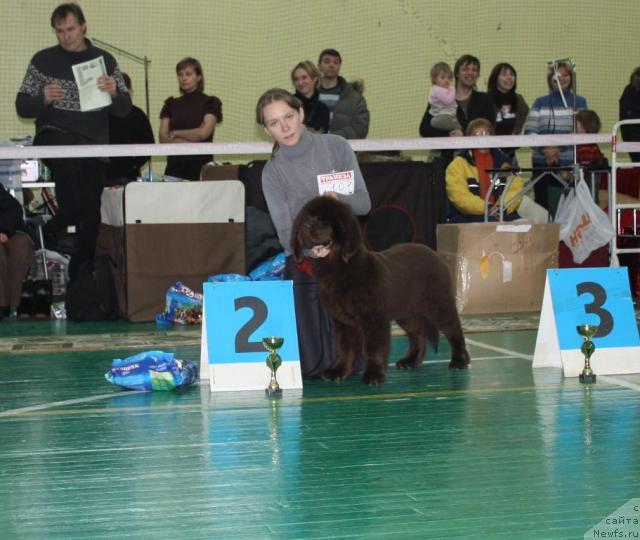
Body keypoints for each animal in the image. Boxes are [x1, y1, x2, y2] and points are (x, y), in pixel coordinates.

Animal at [292, 196, 470, 386]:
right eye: (305, 218)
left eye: (324, 222)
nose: (304, 226)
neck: (340, 269)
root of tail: (435, 255)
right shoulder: (343, 321)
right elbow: (344, 348)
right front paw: (338, 371)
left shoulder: (374, 319)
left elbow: (373, 348)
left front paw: (374, 374)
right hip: (407, 312)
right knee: (417, 335)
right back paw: (411, 361)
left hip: (438, 305)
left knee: (454, 330)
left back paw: (459, 361)